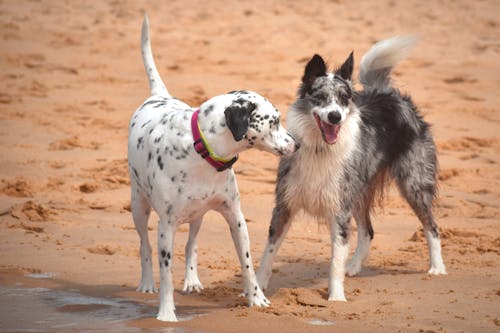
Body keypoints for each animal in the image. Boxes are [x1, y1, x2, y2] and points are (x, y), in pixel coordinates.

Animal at [127, 15, 298, 322]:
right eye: (275, 120)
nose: (298, 144)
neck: (202, 151)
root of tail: (158, 96)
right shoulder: (166, 226)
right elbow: (165, 273)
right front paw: (166, 313)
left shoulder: (236, 217)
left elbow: (248, 265)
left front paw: (257, 298)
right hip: (139, 206)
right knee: (144, 246)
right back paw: (146, 283)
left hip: (198, 215)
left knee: (191, 244)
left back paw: (192, 280)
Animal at [258, 35, 446, 300]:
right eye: (320, 97)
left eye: (344, 98)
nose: (335, 117)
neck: (320, 148)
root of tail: (390, 94)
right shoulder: (285, 204)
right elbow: (269, 251)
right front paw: (256, 287)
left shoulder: (339, 210)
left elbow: (335, 260)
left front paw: (336, 298)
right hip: (359, 191)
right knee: (368, 231)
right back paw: (354, 266)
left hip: (413, 183)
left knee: (432, 226)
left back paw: (437, 267)